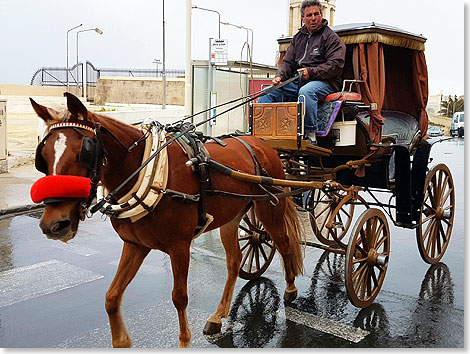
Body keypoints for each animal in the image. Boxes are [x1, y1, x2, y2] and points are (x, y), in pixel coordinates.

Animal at [30, 92, 304, 348]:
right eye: (43, 155)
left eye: (84, 152)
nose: (54, 225)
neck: (146, 170)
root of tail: (259, 143)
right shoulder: (135, 244)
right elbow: (111, 297)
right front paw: (121, 341)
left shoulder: (179, 246)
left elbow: (179, 297)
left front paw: (184, 341)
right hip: (231, 217)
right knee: (235, 261)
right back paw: (218, 315)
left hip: (269, 209)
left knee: (283, 242)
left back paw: (290, 289)